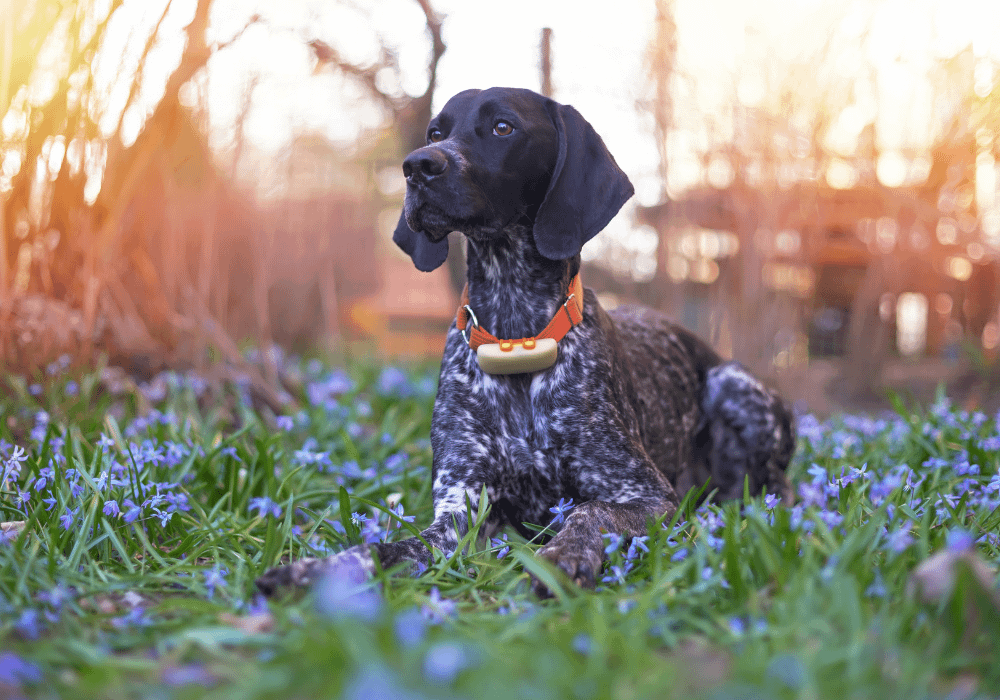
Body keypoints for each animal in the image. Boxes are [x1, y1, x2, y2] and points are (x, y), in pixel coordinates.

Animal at [260, 83, 796, 596]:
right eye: (436, 132)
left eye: (503, 127)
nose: (416, 166)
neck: (514, 335)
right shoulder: (460, 508)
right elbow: (387, 548)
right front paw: (312, 571)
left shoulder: (649, 494)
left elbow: (588, 512)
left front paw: (564, 556)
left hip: (736, 388)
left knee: (774, 492)